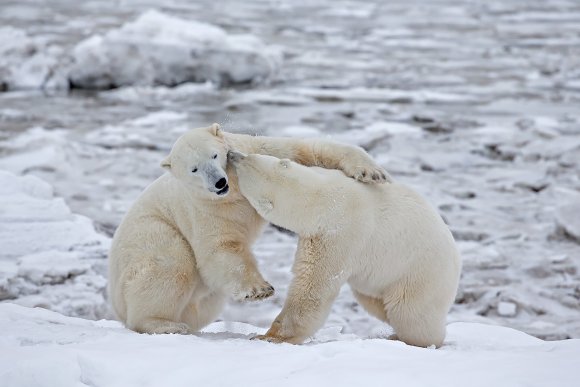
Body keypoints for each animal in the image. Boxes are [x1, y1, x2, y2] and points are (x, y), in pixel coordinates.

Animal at [109, 123, 390, 334]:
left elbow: (305, 153)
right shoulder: (202, 209)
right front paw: (260, 290)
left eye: (214, 155)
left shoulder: (255, 150)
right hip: (153, 232)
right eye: (194, 169)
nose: (218, 182)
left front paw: (370, 172)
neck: (233, 190)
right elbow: (222, 245)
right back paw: (165, 324)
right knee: (170, 264)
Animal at [229, 152, 460, 348]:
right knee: (376, 303)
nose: (232, 155)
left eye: (245, 162)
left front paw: (268, 336)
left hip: (419, 273)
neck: (324, 197)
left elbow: (313, 288)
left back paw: (409, 338)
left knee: (410, 313)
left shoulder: (338, 235)